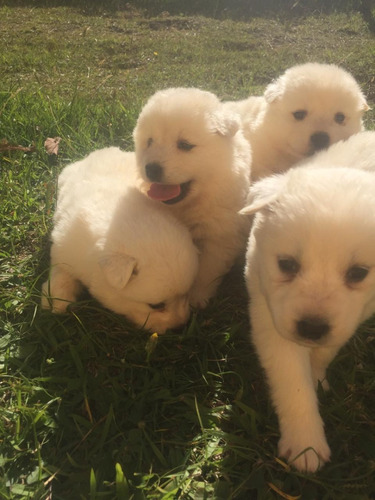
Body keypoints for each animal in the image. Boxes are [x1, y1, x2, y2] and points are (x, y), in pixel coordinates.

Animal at [41, 146, 200, 334]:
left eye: (187, 293)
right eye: (156, 306)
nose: (180, 327)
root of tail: (102, 150)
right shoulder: (63, 247)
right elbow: (61, 273)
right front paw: (56, 301)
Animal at [134, 88, 251, 310]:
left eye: (185, 145)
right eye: (149, 142)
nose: (151, 169)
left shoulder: (219, 236)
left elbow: (206, 270)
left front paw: (197, 298)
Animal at [242, 131, 375, 470]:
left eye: (358, 273)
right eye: (287, 264)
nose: (311, 329)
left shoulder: (353, 316)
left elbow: (325, 350)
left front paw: (317, 376)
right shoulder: (269, 313)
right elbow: (293, 382)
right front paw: (306, 446)